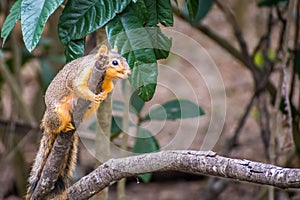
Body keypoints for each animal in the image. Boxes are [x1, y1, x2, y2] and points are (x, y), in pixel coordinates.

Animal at [26, 44, 131, 199]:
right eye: (115, 62)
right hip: (57, 114)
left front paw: (103, 95)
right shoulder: (82, 72)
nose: (128, 72)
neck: (104, 76)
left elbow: (109, 88)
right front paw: (92, 96)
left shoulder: (106, 82)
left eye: (125, 59)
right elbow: (77, 86)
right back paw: (63, 126)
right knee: (54, 126)